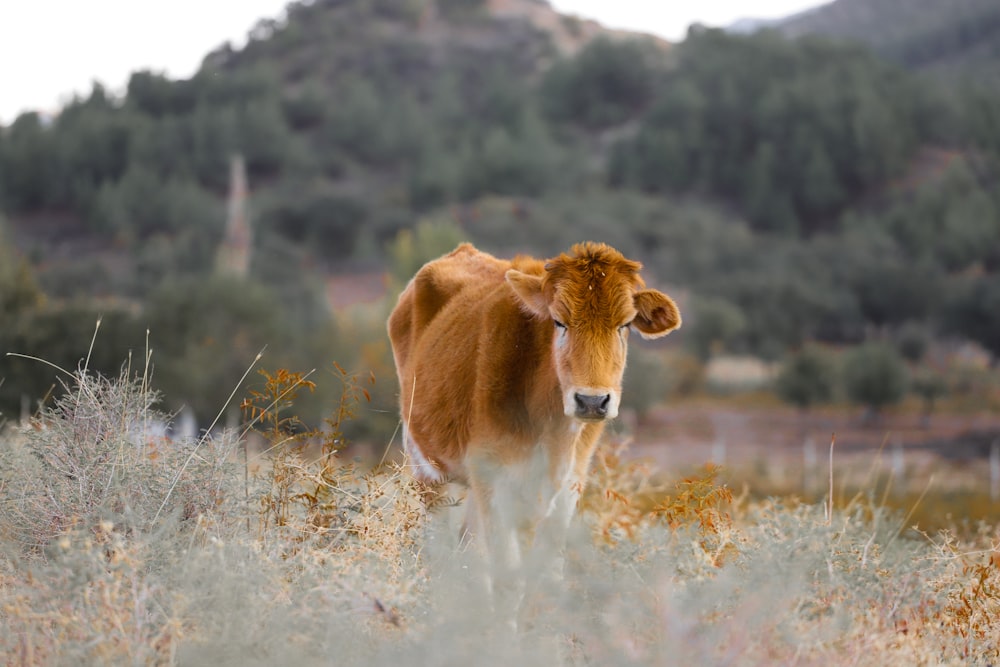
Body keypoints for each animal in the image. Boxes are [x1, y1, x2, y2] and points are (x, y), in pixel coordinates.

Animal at [386, 245, 676, 612]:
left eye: (624, 325)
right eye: (559, 321)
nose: (592, 401)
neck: (550, 431)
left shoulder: (568, 487)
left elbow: (546, 577)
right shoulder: (495, 482)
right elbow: (507, 578)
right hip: (427, 468)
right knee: (442, 550)